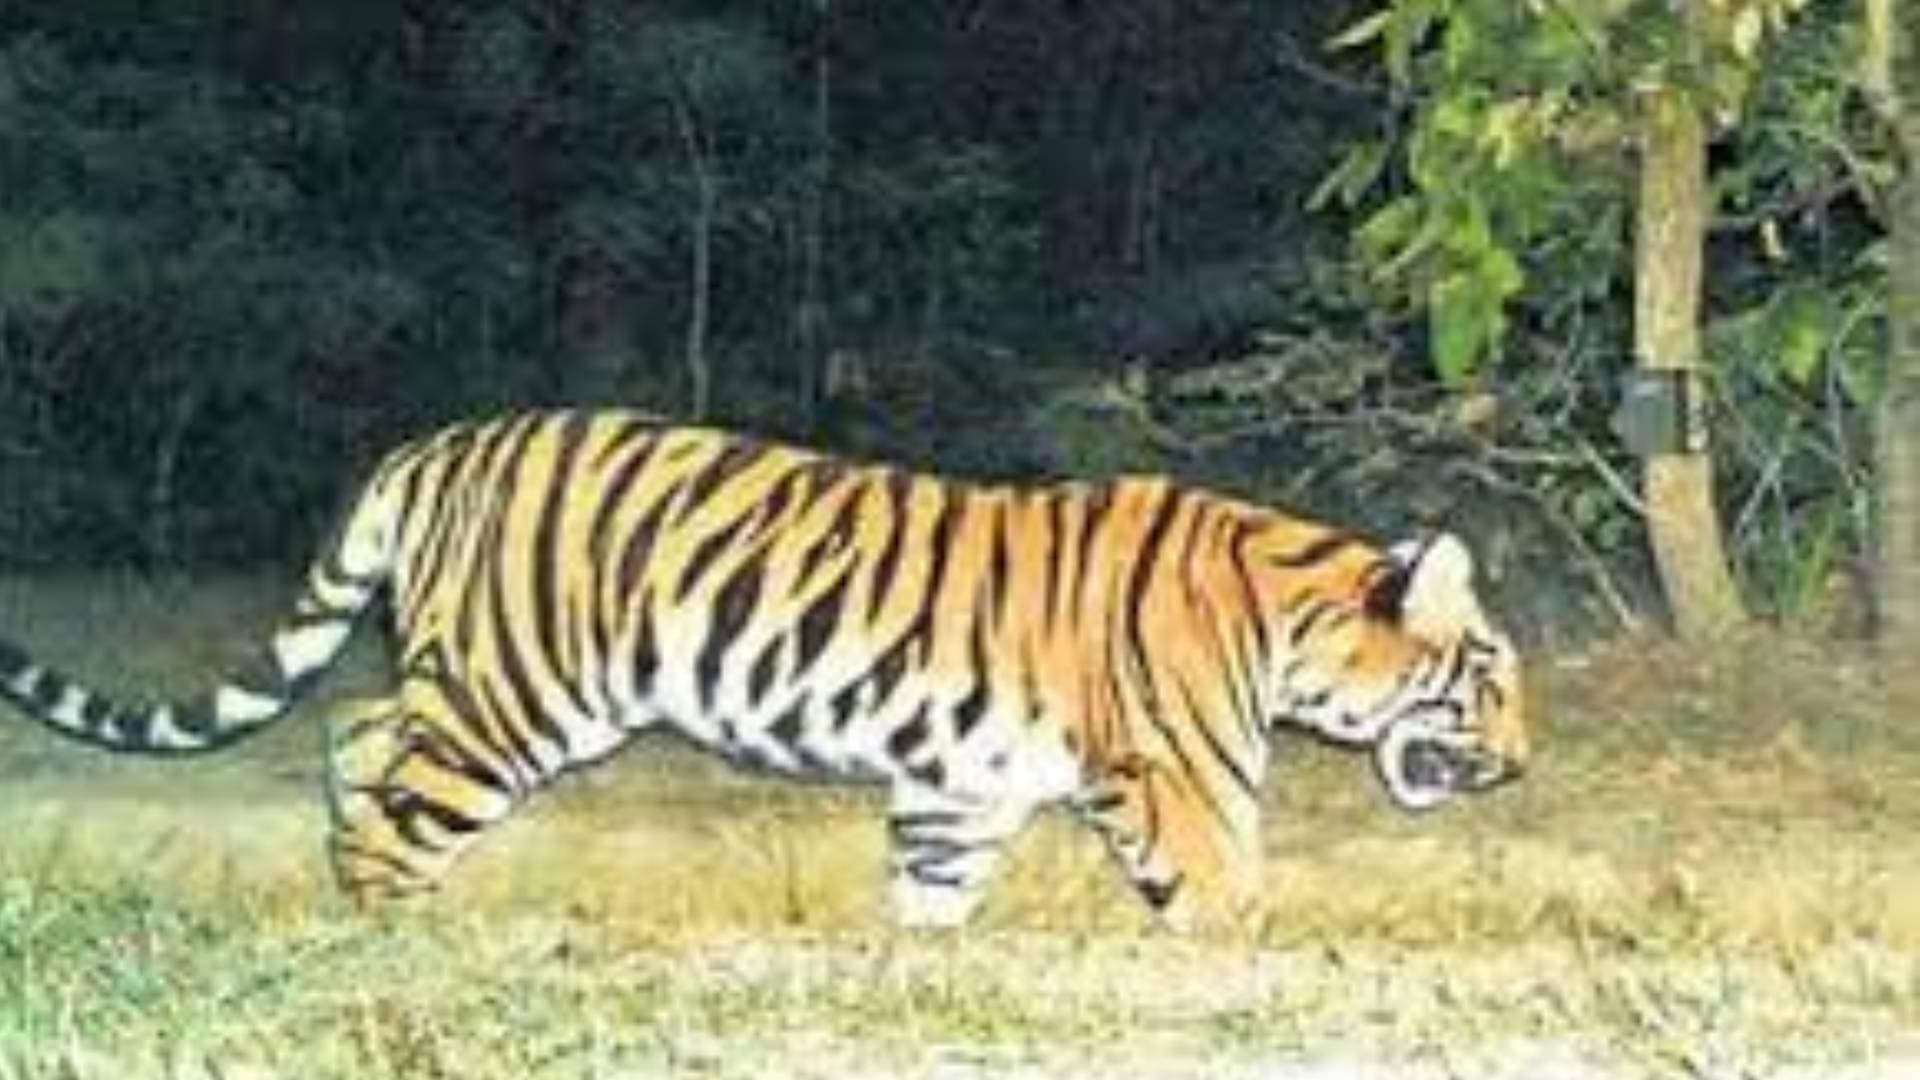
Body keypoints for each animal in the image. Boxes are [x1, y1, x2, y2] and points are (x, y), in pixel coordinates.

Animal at [0, 409, 1527, 929]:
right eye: (1492, 678)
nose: (1520, 765)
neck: (1290, 617)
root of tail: (433, 444)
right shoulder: (1183, 787)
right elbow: (1232, 900)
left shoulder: (961, 781)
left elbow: (932, 892)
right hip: (515, 694)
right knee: (395, 789)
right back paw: (387, 922)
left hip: (480, 684)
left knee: (358, 729)